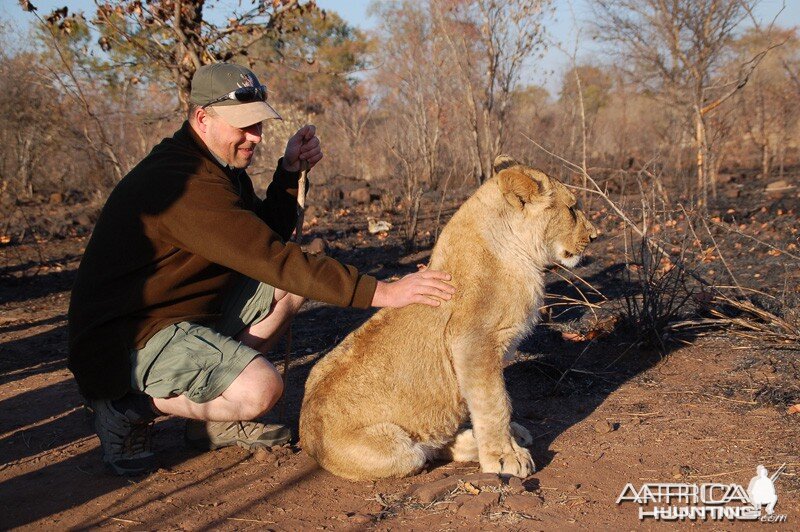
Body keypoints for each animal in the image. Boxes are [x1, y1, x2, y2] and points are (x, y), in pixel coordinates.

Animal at [302, 155, 600, 482]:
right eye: (571, 208)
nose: (595, 236)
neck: (517, 253)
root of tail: (305, 434)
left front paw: (505, 445)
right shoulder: (471, 342)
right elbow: (494, 403)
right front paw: (504, 457)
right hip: (397, 450)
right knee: (425, 451)